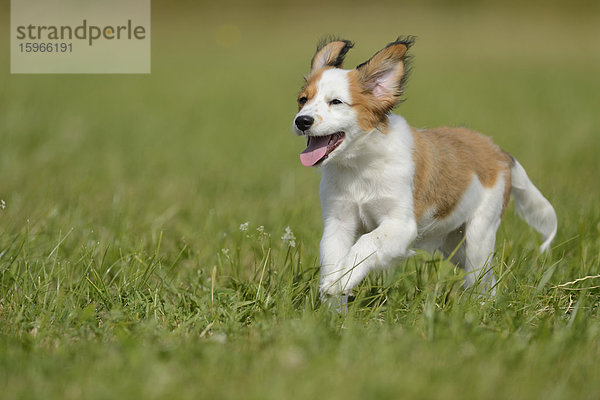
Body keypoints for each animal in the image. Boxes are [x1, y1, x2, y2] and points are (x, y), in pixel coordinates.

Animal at [290, 38, 556, 304]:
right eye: (303, 100)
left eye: (336, 102)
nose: (301, 121)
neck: (360, 164)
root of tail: (499, 151)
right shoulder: (338, 222)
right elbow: (332, 260)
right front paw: (332, 302)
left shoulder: (401, 224)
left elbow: (367, 242)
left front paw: (340, 282)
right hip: (454, 245)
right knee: (487, 277)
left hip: (478, 236)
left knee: (480, 278)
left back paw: (478, 306)